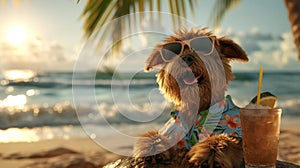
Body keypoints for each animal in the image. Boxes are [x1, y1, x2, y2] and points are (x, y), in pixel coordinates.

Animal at [104, 26, 247, 167]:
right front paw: (153, 147)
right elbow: (156, 136)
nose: (187, 57)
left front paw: (210, 151)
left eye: (203, 47)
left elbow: (225, 139)